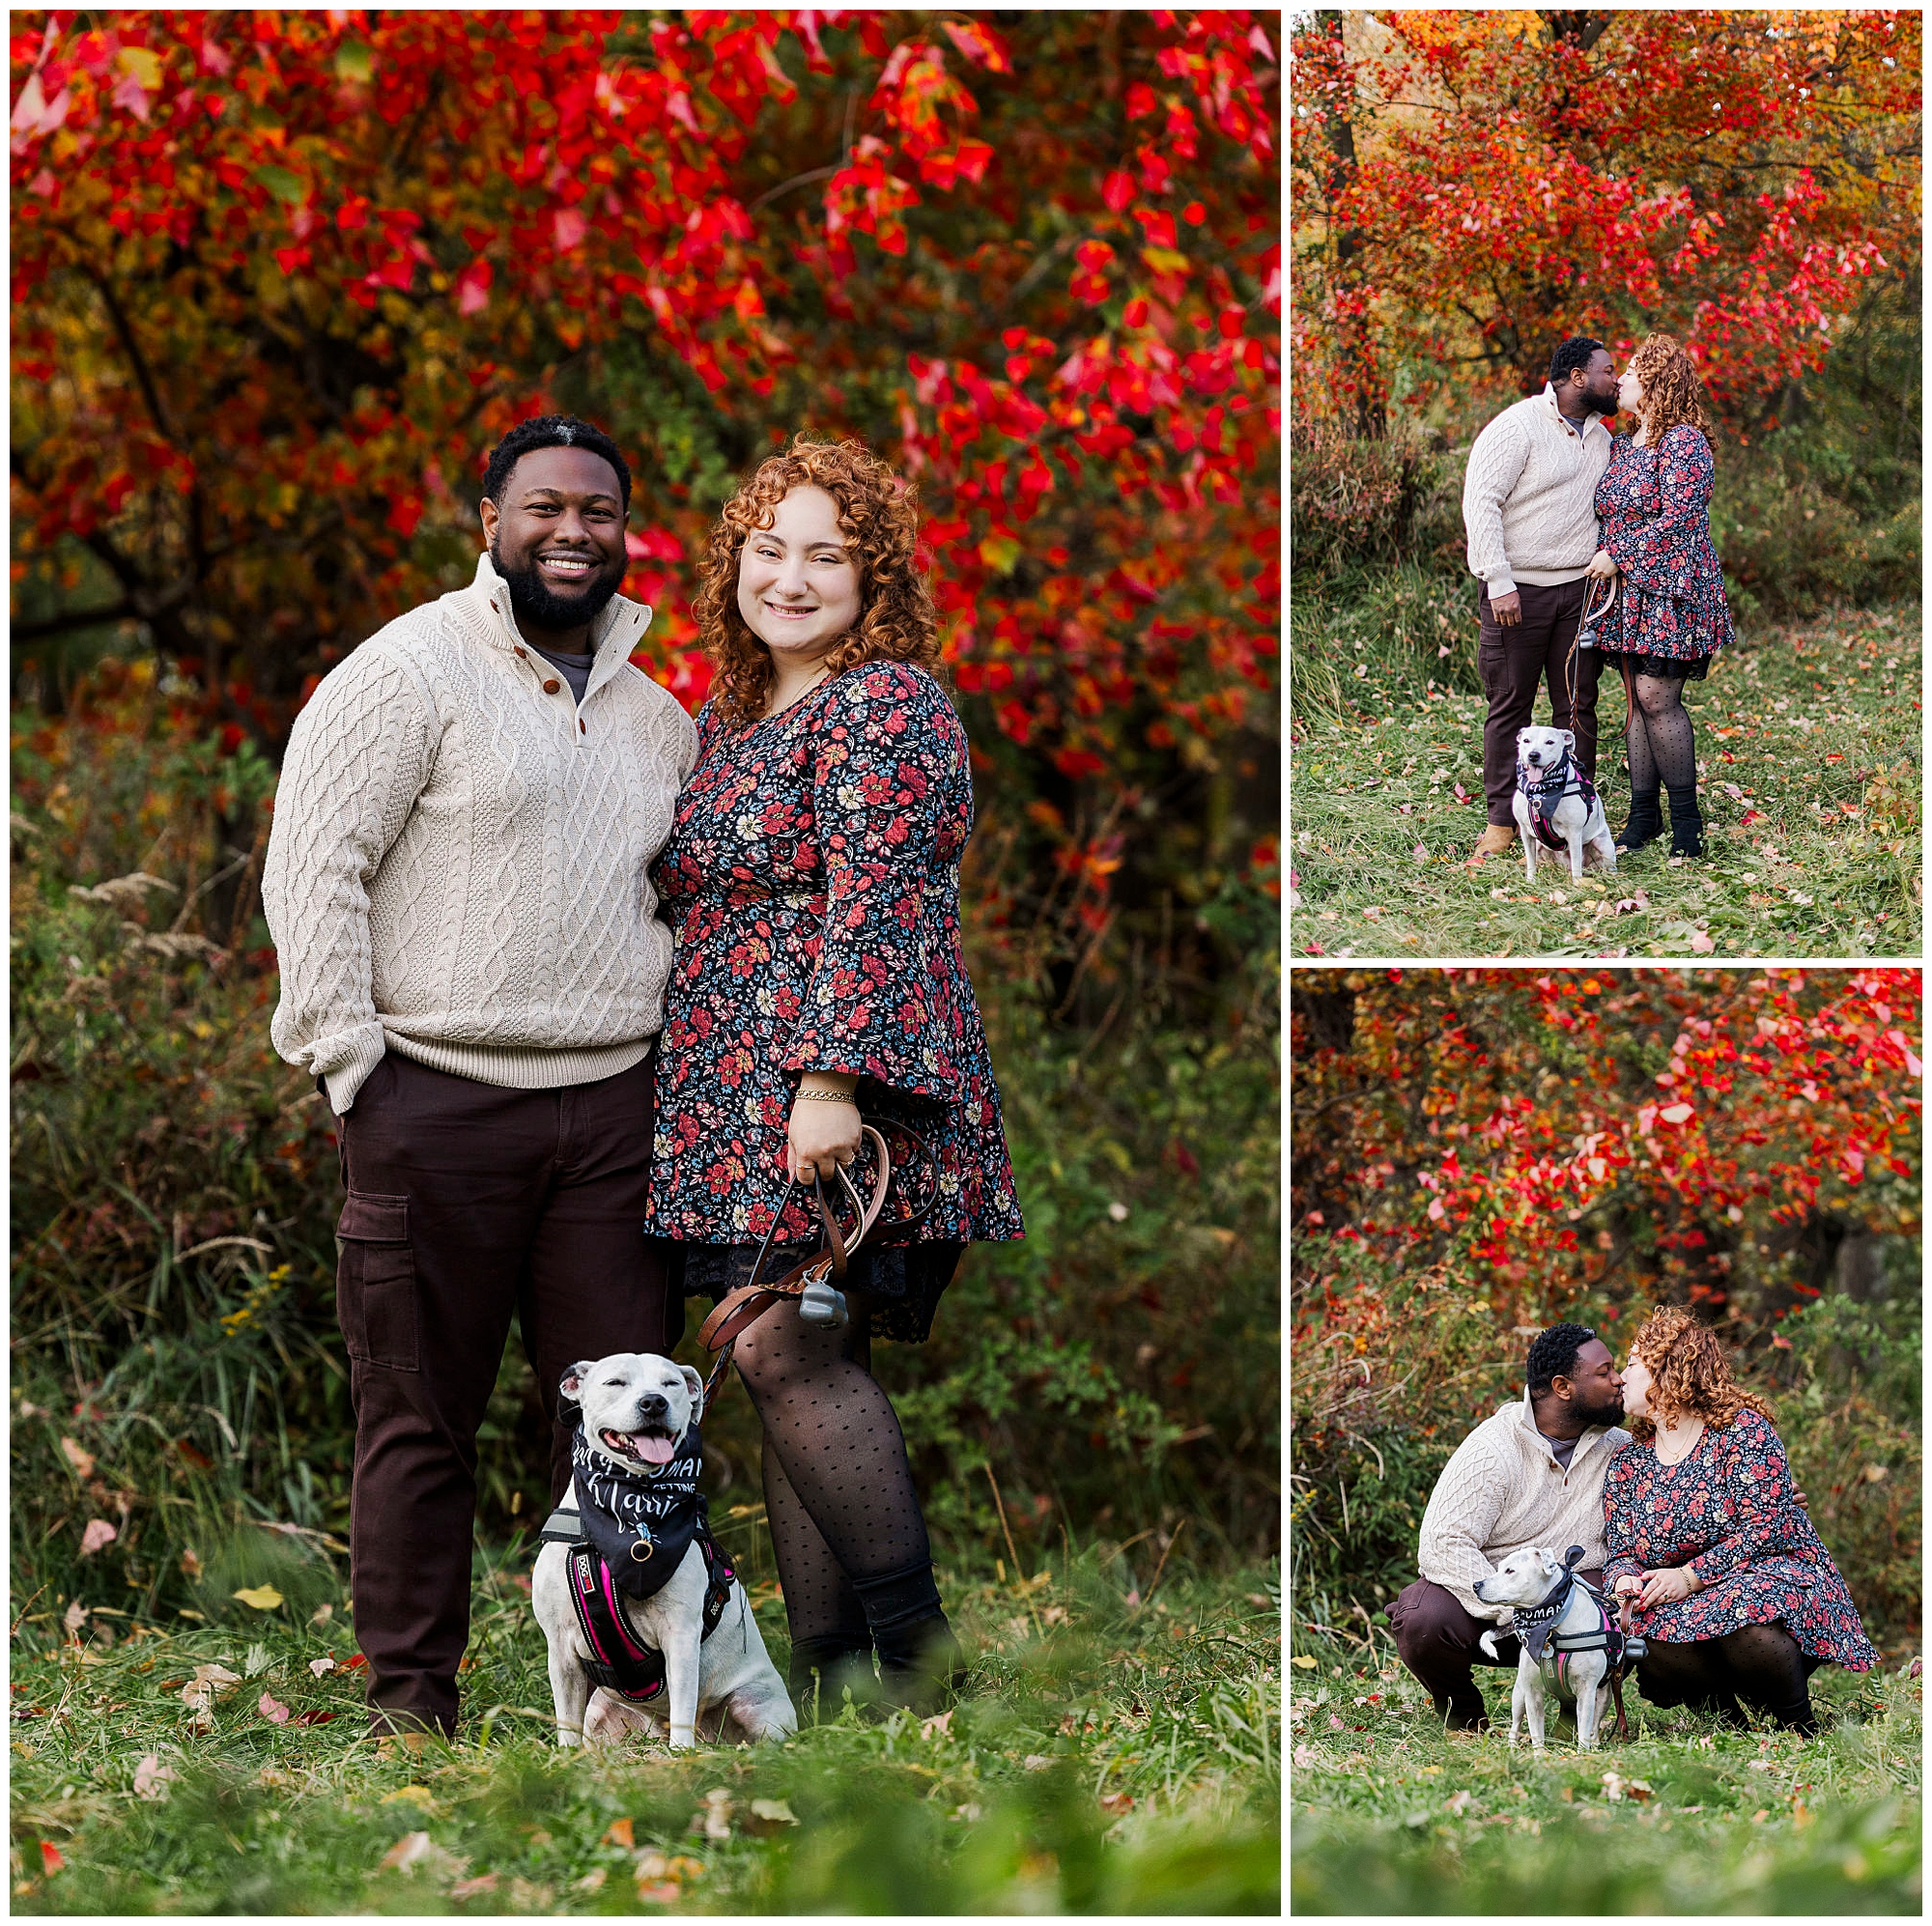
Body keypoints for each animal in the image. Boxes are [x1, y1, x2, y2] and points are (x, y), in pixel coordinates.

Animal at [529, 1352, 792, 1746]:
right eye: (615, 1382)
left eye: (671, 1383)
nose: (654, 1402)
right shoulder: (560, 1650)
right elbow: (567, 1725)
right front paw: (566, 1759)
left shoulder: (680, 1637)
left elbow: (682, 1712)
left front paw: (683, 1755)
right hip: (599, 1712)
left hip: (752, 1701)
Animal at [1476, 1538, 1631, 1754]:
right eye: (1499, 1568)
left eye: (1510, 1571)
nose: (1476, 1584)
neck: (1551, 1624)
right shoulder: (1532, 1692)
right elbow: (1536, 1732)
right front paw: (1539, 1756)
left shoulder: (1587, 1691)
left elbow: (1584, 1729)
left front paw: (1583, 1754)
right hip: (1519, 1694)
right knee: (1515, 1724)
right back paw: (1512, 1746)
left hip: (1605, 1695)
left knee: (1594, 1726)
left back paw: (1595, 1745)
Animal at [1507, 726, 1615, 885]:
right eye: (1526, 740)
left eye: (1550, 742)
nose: (1533, 755)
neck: (1540, 791)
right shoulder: (1525, 833)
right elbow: (1531, 861)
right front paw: (1530, 881)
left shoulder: (1574, 833)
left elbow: (1576, 864)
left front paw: (1576, 885)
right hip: (1540, 845)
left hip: (1602, 844)